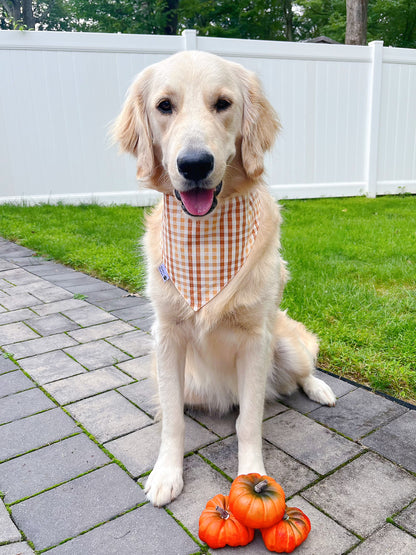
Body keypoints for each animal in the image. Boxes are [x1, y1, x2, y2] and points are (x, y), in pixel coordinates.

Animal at [115, 52, 336, 508]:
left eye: (223, 104)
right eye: (164, 106)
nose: (195, 164)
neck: (207, 240)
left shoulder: (255, 341)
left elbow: (249, 422)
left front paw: (254, 478)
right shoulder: (166, 337)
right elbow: (172, 421)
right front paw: (167, 473)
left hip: (285, 344)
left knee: (302, 372)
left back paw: (320, 390)